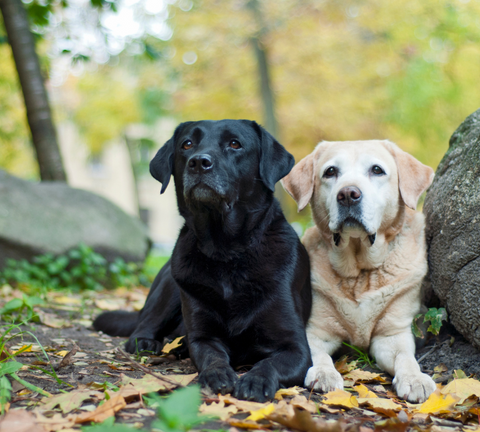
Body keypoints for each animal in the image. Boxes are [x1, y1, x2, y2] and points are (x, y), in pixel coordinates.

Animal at [94, 119, 314, 402]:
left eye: (235, 144)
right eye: (187, 144)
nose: (199, 162)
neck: (227, 253)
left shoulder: (296, 348)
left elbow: (269, 363)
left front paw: (255, 380)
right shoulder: (203, 337)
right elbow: (212, 356)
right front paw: (216, 375)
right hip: (170, 285)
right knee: (143, 325)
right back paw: (148, 342)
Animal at [284, 140, 436, 404]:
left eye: (376, 170)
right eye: (330, 172)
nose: (348, 194)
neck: (359, 273)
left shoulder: (392, 334)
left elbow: (406, 358)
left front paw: (415, 378)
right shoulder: (316, 330)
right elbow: (317, 354)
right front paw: (324, 373)